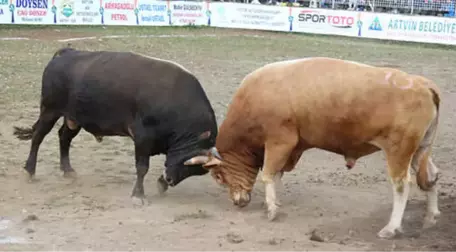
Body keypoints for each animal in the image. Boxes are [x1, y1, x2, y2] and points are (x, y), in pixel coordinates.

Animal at [12, 48, 223, 204]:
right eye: (187, 164)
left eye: (193, 170)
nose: (170, 180)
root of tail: (67, 52)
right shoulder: (143, 138)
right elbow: (142, 167)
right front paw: (138, 195)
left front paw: (160, 184)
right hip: (50, 110)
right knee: (38, 136)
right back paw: (29, 171)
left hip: (74, 118)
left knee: (64, 138)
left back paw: (68, 171)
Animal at [185, 56, 442, 238]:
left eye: (218, 176)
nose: (237, 202)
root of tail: (422, 84)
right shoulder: (290, 148)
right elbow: (276, 175)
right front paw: (274, 202)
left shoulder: (280, 141)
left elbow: (268, 175)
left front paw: (271, 209)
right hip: (420, 150)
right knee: (431, 176)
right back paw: (431, 217)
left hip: (399, 151)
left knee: (401, 185)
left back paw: (391, 227)